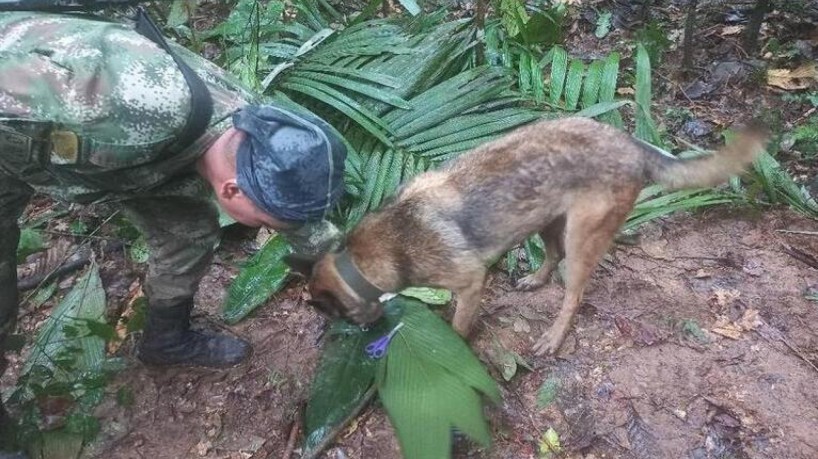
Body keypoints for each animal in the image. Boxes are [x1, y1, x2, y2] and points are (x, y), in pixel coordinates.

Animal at [282, 117, 764, 354]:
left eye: (339, 317)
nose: (363, 333)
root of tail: (634, 145)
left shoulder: (470, 283)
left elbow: (458, 325)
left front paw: (452, 347)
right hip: (546, 218)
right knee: (551, 256)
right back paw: (535, 279)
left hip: (582, 238)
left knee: (573, 293)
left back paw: (554, 336)